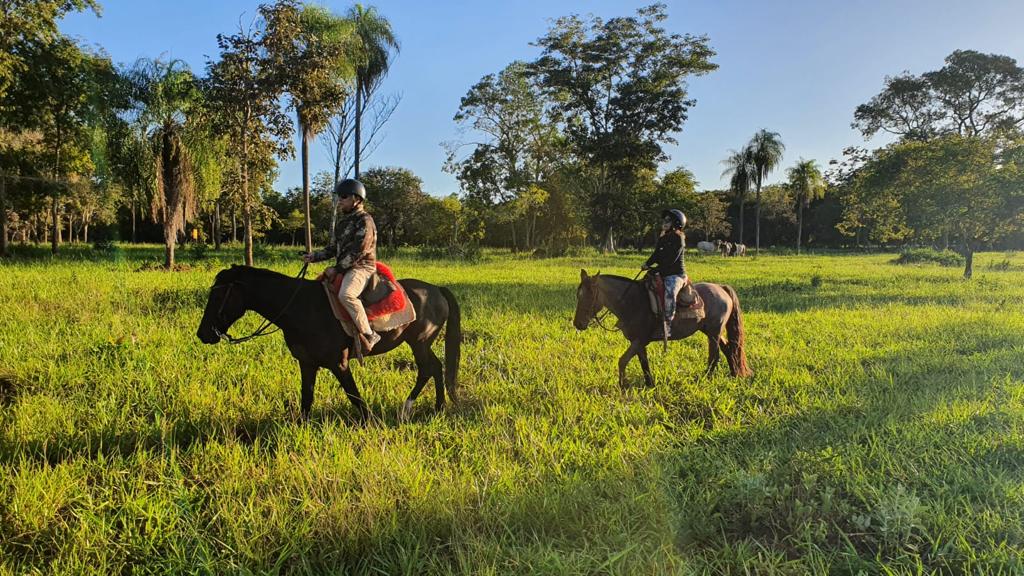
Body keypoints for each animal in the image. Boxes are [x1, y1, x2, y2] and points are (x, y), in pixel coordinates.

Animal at [195, 266, 460, 422]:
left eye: (218, 295)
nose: (203, 334)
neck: (300, 307)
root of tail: (437, 290)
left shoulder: (338, 364)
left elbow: (355, 397)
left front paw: (371, 423)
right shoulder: (307, 363)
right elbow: (306, 398)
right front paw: (300, 430)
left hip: (419, 342)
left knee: (426, 370)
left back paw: (407, 408)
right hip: (421, 343)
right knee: (435, 368)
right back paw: (438, 408)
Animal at [577, 268, 753, 385]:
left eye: (588, 295)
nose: (577, 323)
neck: (632, 301)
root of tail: (721, 288)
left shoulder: (640, 340)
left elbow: (622, 361)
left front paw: (623, 387)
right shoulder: (638, 342)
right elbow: (644, 363)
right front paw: (650, 385)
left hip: (714, 331)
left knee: (715, 355)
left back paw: (706, 378)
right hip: (710, 330)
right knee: (728, 348)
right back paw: (734, 374)